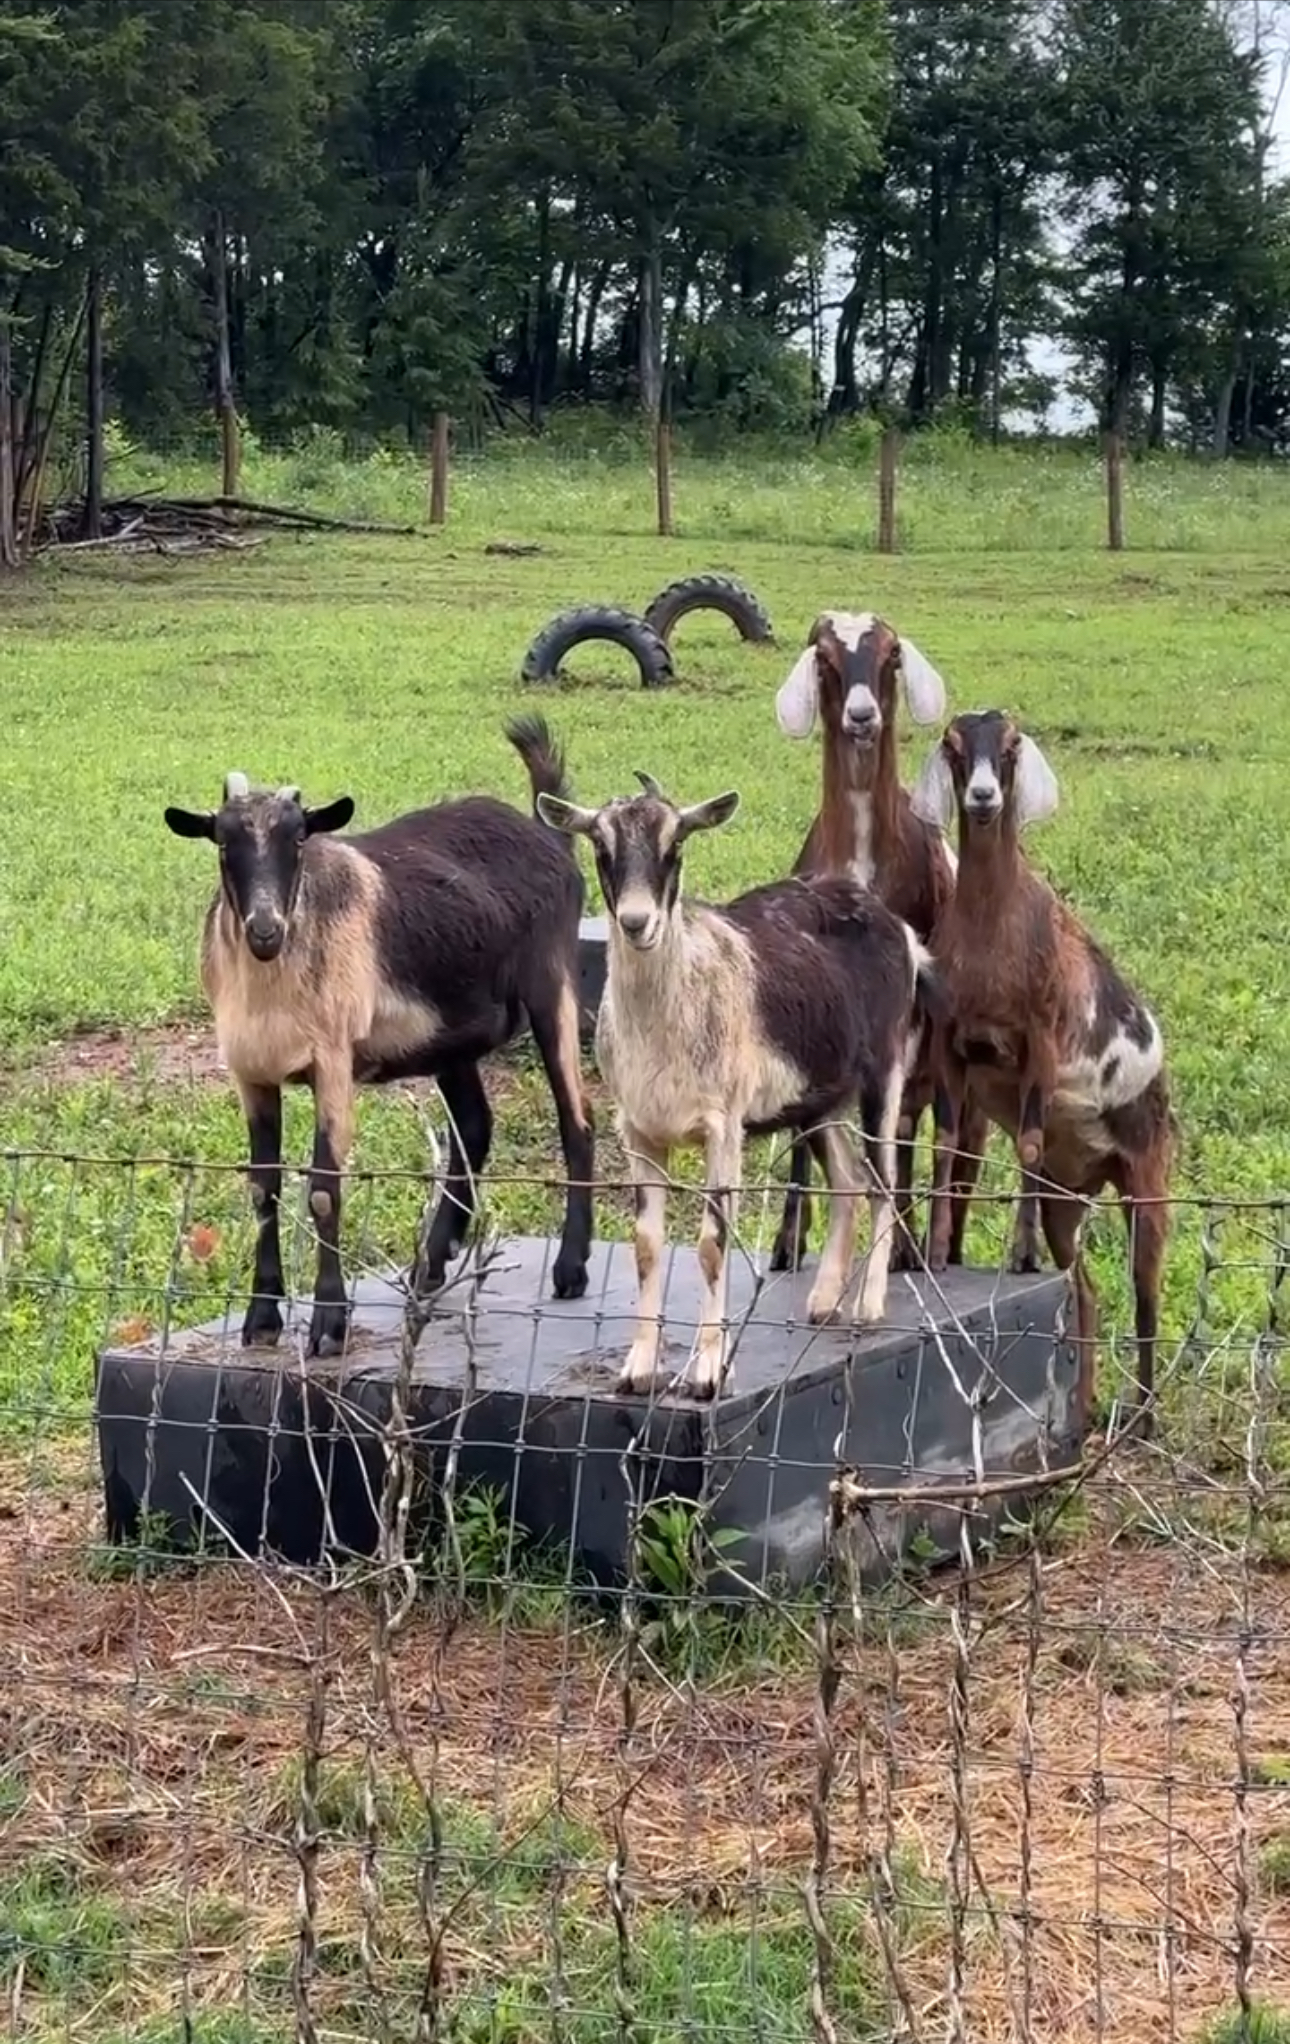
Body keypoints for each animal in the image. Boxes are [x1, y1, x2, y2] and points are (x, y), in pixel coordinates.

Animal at [163, 715, 594, 1358]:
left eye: (298, 839)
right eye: (221, 841)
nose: (266, 929)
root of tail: (547, 835)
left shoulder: (333, 1061)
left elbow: (323, 1189)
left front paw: (328, 1325)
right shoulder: (251, 1071)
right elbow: (263, 1189)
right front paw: (261, 1319)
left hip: (554, 985)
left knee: (577, 1119)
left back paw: (570, 1268)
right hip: (450, 1034)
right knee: (474, 1127)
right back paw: (430, 1268)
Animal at [536, 770, 936, 1399]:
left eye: (675, 845)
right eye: (601, 846)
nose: (636, 922)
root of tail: (899, 928)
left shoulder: (722, 1126)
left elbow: (711, 1242)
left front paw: (706, 1371)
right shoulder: (638, 1131)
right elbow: (646, 1245)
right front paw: (638, 1369)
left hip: (886, 1069)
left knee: (883, 1181)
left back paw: (869, 1307)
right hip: (819, 1098)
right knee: (848, 1179)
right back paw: (824, 1301)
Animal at [772, 609, 989, 1276]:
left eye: (891, 655)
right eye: (824, 658)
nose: (862, 716)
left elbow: (896, 1126)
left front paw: (900, 1246)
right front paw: (788, 1240)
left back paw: (922, 1244)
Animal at [910, 709, 1174, 1428]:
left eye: (1009, 746)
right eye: (953, 747)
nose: (982, 797)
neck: (994, 935)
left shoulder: (1040, 1044)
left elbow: (1026, 1140)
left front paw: (1019, 1254)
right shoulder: (952, 1046)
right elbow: (947, 1144)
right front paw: (937, 1252)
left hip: (1148, 1180)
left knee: (1145, 1294)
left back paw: (1143, 1419)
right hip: (1069, 1198)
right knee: (1083, 1291)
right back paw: (1079, 1409)